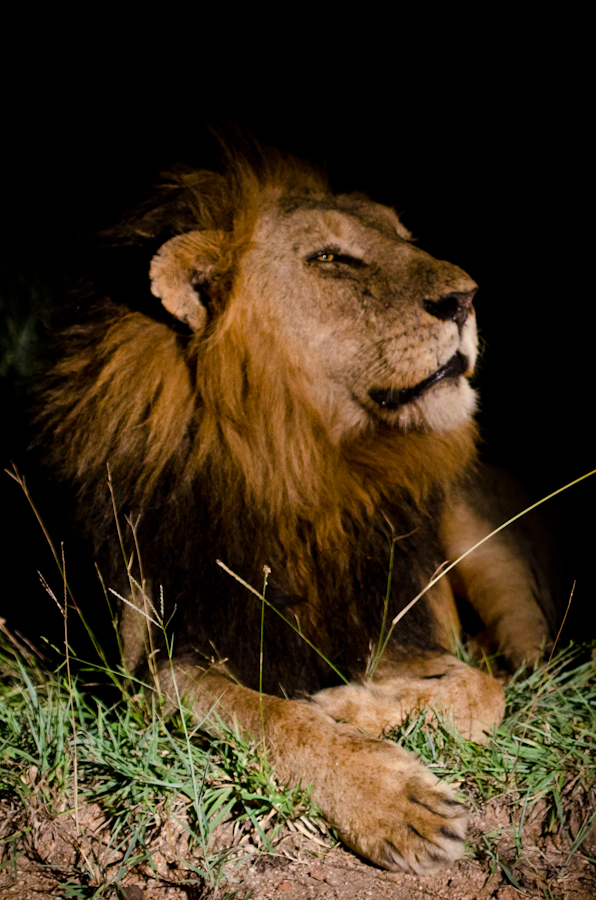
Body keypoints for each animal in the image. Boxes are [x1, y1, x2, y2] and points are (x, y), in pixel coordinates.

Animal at [40, 145, 557, 875]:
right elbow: (276, 717)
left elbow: (483, 690)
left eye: (404, 236)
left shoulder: (406, 630)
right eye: (332, 259)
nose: (467, 299)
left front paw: (349, 700)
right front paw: (395, 801)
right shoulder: (151, 672)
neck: (302, 468)